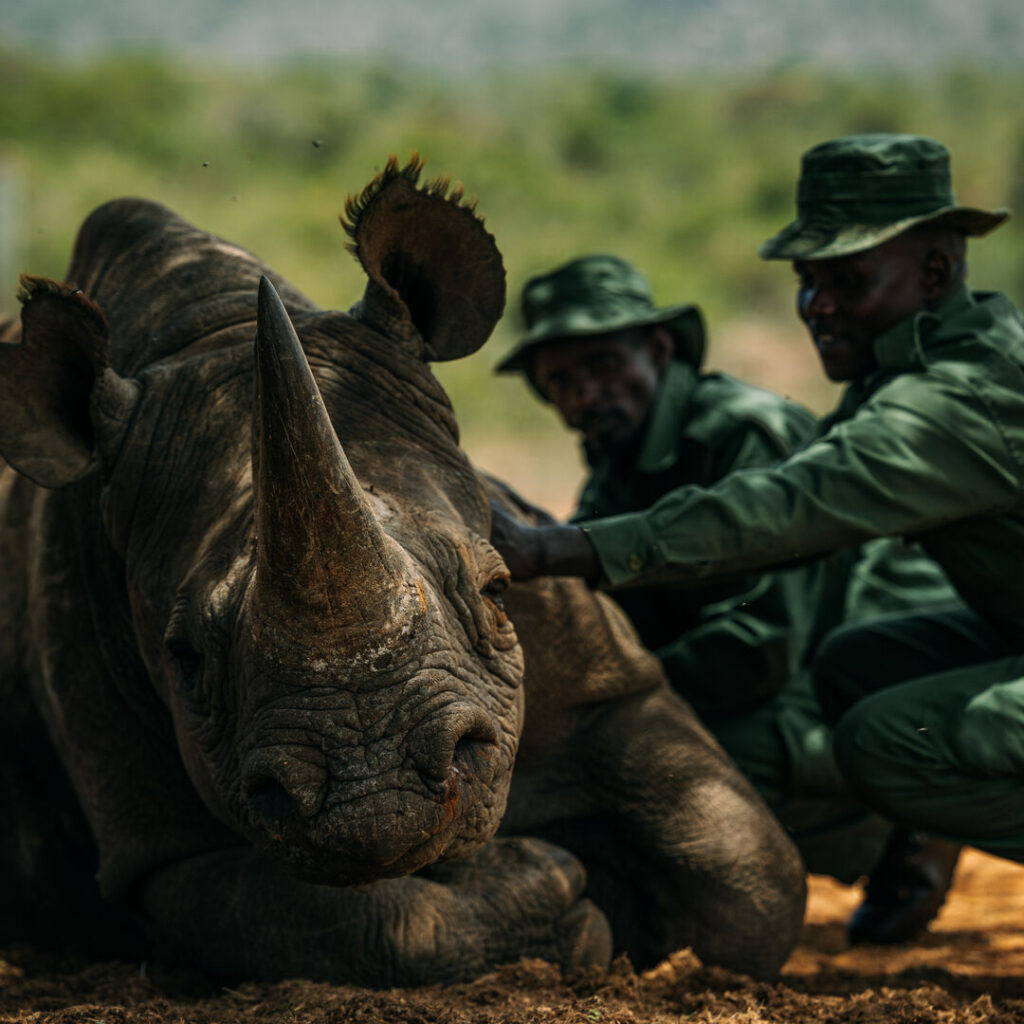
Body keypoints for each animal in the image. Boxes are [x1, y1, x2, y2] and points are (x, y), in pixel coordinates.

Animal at [0, 157, 805, 984]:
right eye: (182, 657)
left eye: (497, 590)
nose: (378, 798)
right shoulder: (150, 842)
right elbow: (330, 921)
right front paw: (557, 900)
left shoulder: (602, 669)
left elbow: (746, 871)